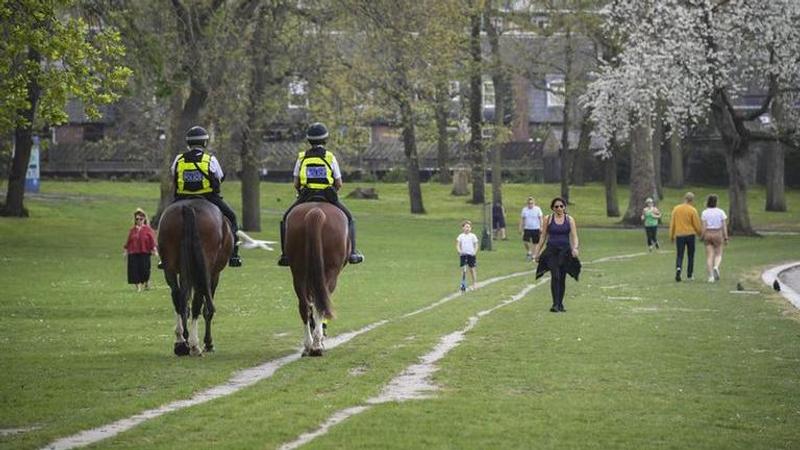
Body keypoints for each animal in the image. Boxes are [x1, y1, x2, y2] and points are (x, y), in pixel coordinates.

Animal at [156, 199, 231, 356]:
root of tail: (188, 207)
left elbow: (184, 302)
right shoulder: (214, 275)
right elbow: (205, 309)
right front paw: (208, 343)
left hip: (170, 267)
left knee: (177, 297)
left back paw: (181, 342)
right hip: (204, 271)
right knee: (198, 302)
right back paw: (195, 345)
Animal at [288, 202, 350, 356]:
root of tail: (315, 212)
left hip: (298, 272)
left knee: (305, 305)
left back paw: (308, 345)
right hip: (331, 273)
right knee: (320, 305)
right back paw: (317, 345)